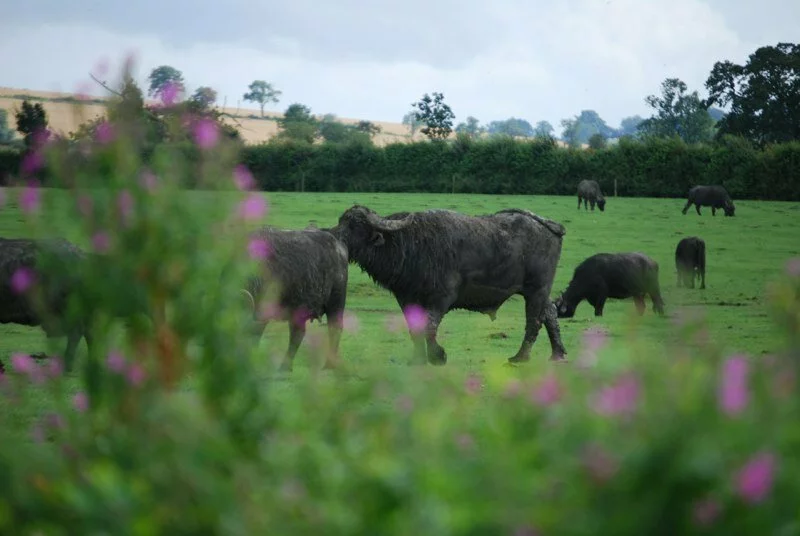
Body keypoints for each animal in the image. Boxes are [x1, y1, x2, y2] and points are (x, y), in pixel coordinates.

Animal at [238, 225, 349, 372]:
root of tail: (339, 246)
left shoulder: (261, 314)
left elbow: (253, 336)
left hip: (336, 302)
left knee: (334, 328)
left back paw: (329, 364)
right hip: (298, 311)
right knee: (298, 334)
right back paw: (286, 366)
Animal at [330, 205, 569, 365]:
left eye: (355, 226)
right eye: (342, 221)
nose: (333, 236)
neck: (412, 245)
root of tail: (550, 226)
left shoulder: (442, 298)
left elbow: (429, 327)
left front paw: (438, 356)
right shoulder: (406, 298)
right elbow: (415, 329)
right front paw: (418, 359)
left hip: (536, 289)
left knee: (534, 321)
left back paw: (521, 357)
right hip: (541, 292)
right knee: (550, 313)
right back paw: (558, 353)